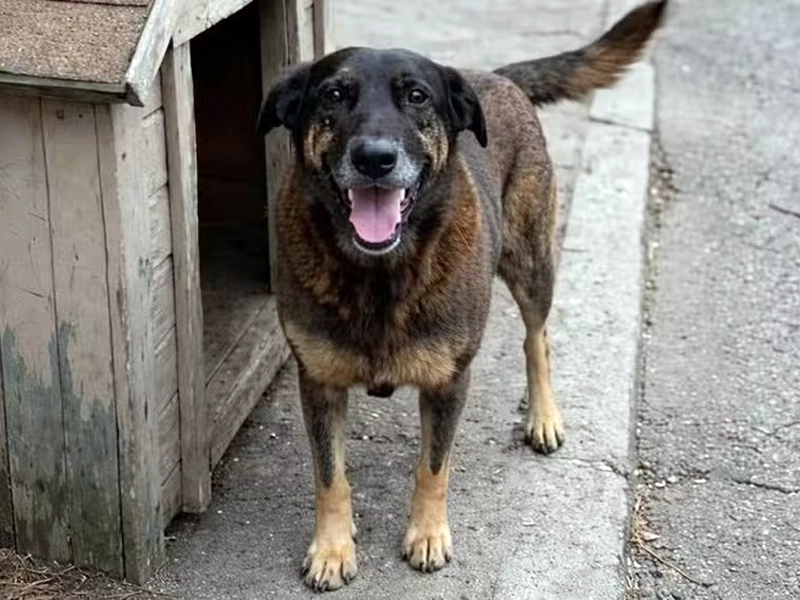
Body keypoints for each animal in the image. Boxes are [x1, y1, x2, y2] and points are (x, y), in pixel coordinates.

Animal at [257, 1, 666, 591]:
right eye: (334, 94)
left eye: (417, 96)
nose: (375, 158)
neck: (380, 275)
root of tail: (495, 76)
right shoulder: (319, 382)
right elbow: (330, 475)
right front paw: (333, 547)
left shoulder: (449, 382)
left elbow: (433, 466)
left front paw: (427, 534)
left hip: (531, 265)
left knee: (537, 337)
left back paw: (543, 416)